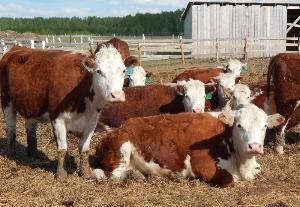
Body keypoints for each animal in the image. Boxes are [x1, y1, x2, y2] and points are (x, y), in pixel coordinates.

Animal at [0, 45, 126, 180]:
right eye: (99, 71)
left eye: (123, 71)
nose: (117, 95)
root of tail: (16, 48)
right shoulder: (57, 117)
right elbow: (62, 148)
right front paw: (61, 175)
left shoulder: (92, 120)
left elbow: (85, 148)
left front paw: (85, 172)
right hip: (6, 102)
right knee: (11, 130)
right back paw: (12, 156)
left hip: (31, 105)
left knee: (31, 129)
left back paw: (33, 155)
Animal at [95, 104, 284, 187]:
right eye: (239, 125)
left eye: (264, 126)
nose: (254, 147)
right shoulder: (203, 166)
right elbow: (229, 179)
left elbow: (259, 170)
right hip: (123, 148)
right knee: (114, 174)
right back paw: (135, 175)